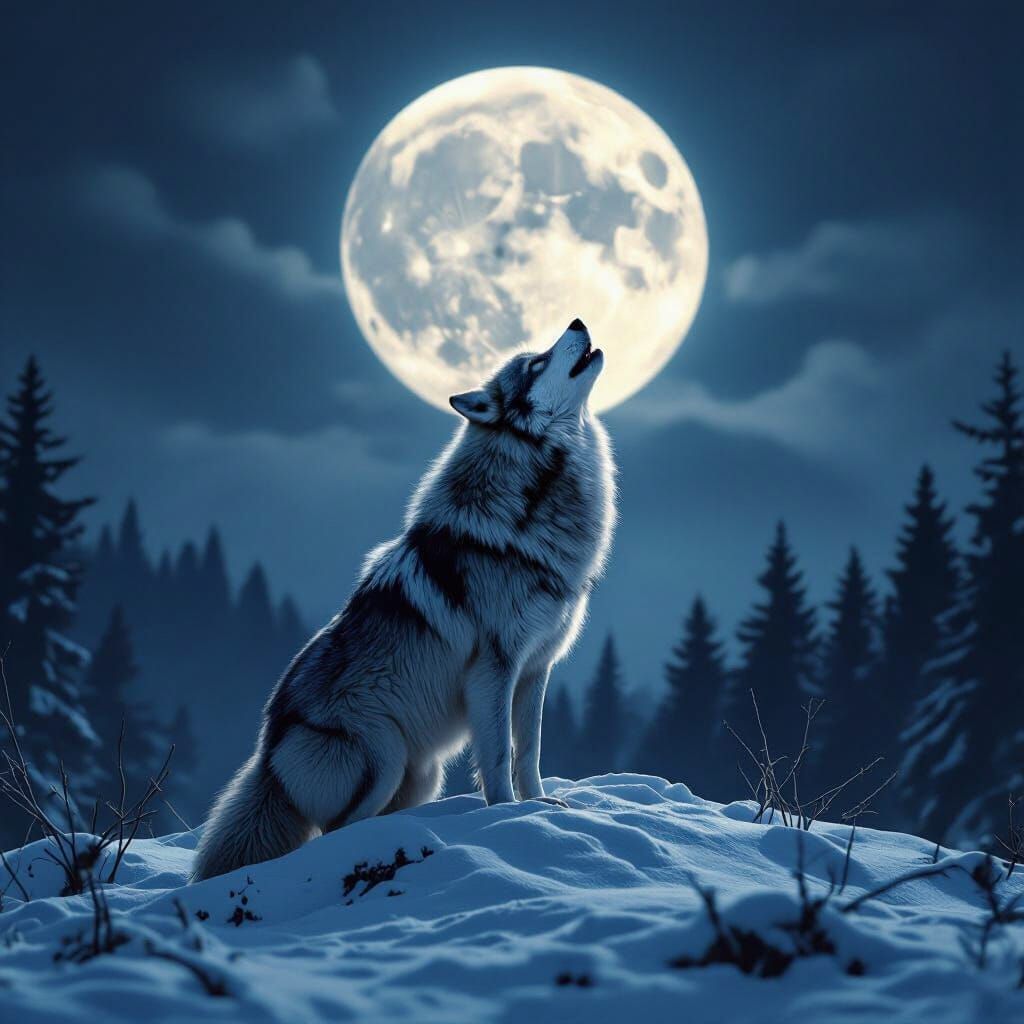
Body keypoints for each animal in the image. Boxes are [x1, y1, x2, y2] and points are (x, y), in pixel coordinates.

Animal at [191, 319, 616, 881]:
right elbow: (499, 756)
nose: (577, 322)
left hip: (421, 774)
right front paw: (506, 814)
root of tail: (266, 754)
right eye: (536, 363)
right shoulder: (494, 671)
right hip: (385, 760)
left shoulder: (536, 668)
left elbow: (530, 751)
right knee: (334, 833)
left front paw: (541, 806)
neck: (530, 508)